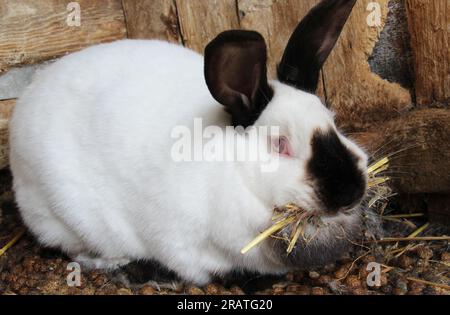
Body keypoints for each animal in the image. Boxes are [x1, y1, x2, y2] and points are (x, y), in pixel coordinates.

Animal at [9, 0, 370, 286]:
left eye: (333, 122)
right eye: (280, 144)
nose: (351, 191)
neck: (238, 173)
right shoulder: (182, 246)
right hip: (64, 217)